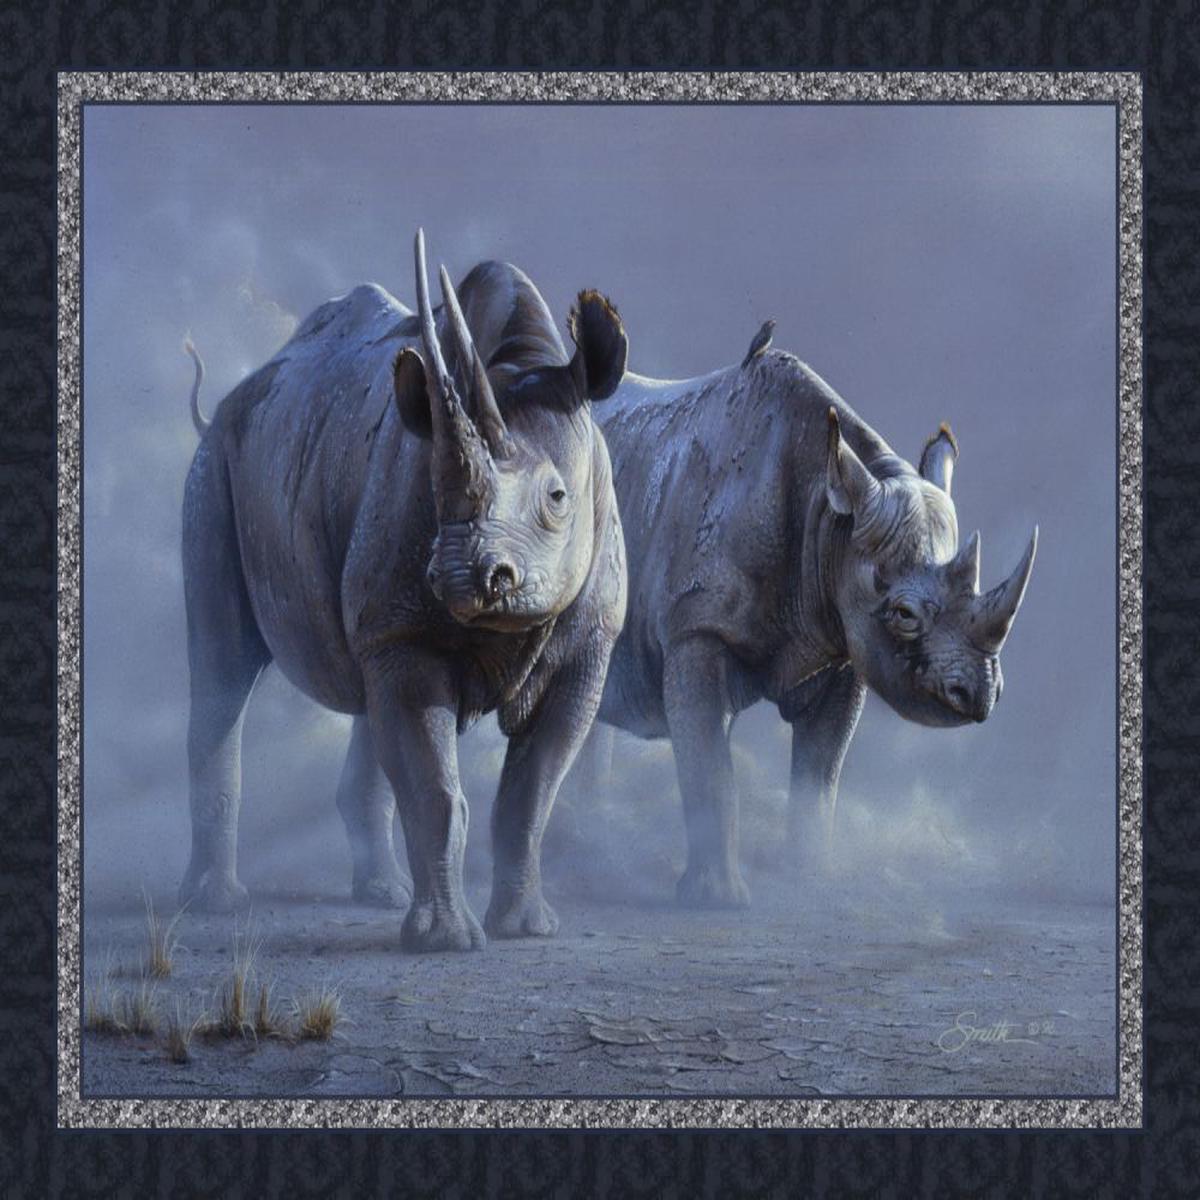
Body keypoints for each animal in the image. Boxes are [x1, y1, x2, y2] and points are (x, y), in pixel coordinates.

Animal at [179, 231, 628, 951]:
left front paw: (526, 930)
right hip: (215, 465)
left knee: (365, 695)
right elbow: (434, 787)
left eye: (559, 498)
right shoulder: (408, 627)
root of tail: (229, 402)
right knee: (223, 667)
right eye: (436, 496)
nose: (462, 577)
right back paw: (214, 905)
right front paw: (446, 943)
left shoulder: (588, 647)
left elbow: (532, 791)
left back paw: (379, 893)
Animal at [570, 348, 1036, 909]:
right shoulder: (696, 628)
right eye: (904, 614)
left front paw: (810, 882)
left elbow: (821, 770)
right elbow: (711, 767)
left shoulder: (842, 644)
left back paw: (586, 843)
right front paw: (717, 898)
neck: (830, 522)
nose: (980, 694)